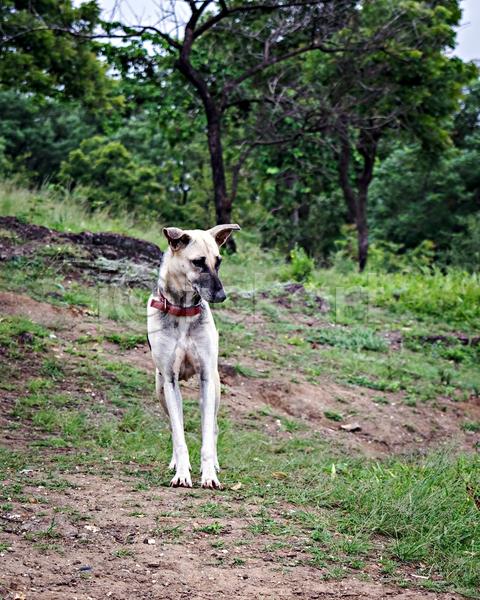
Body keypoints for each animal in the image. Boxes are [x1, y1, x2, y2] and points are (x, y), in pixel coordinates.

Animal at [146, 223, 240, 490]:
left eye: (218, 261)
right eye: (198, 262)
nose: (221, 296)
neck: (183, 311)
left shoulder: (206, 379)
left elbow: (207, 437)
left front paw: (209, 475)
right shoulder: (170, 380)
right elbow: (178, 435)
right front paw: (180, 473)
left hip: (215, 390)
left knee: (214, 427)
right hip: (160, 390)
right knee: (172, 424)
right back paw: (176, 463)